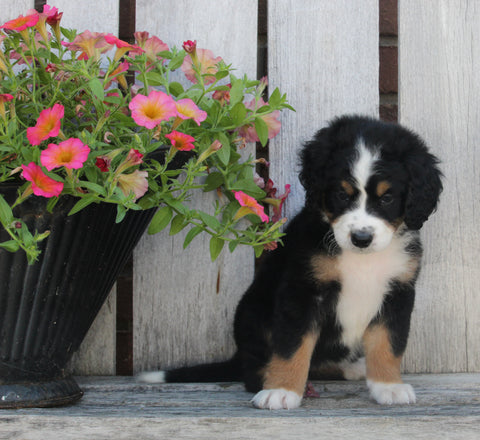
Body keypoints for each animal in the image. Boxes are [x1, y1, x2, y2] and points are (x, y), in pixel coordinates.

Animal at [138, 116, 442, 410]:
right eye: (342, 194)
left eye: (387, 198)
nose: (361, 238)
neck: (361, 261)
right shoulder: (301, 291)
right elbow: (292, 346)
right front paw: (281, 390)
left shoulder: (397, 292)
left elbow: (388, 344)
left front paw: (388, 386)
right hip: (253, 312)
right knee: (255, 371)